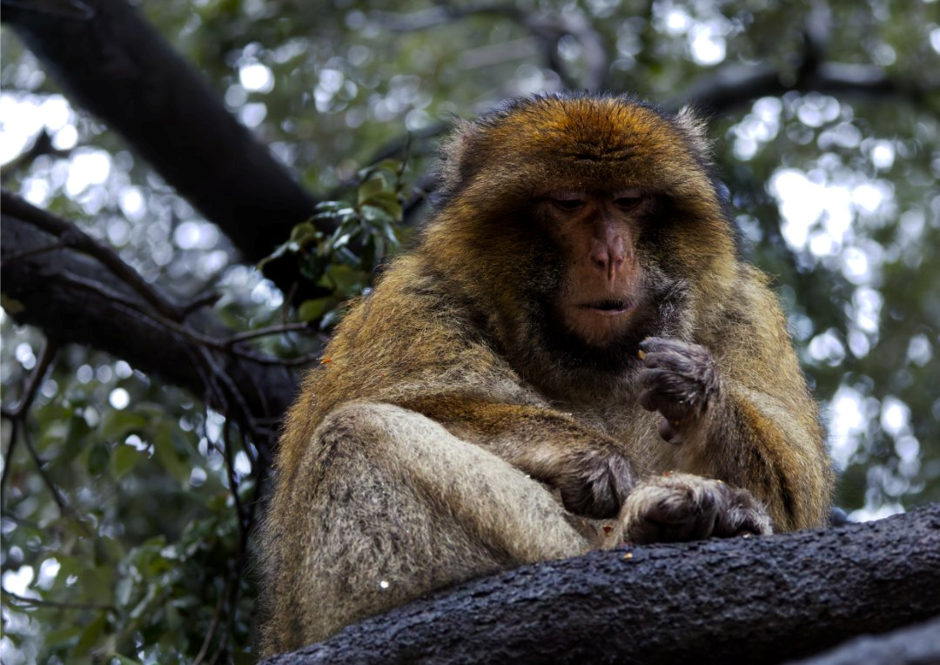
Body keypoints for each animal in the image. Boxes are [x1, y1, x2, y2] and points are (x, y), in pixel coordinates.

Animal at [256, 93, 834, 656]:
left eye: (629, 201)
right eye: (570, 203)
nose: (610, 256)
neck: (594, 363)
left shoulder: (745, 309)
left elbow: (792, 495)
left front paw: (694, 389)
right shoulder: (414, 299)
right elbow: (385, 408)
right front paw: (585, 455)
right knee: (355, 433)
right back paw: (638, 535)